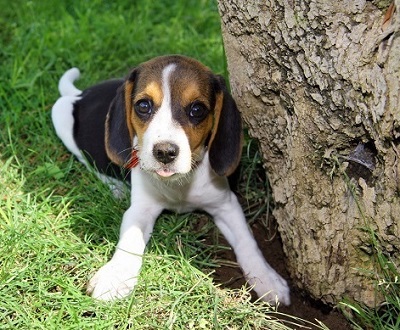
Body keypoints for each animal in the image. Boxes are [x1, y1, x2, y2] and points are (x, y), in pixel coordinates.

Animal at [51, 54, 290, 304]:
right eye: (143, 106)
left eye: (197, 109)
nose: (165, 152)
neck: (179, 183)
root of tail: (81, 94)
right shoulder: (141, 209)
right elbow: (130, 237)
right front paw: (116, 276)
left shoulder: (226, 204)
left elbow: (247, 241)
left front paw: (267, 279)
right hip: (59, 115)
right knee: (89, 162)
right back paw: (116, 188)